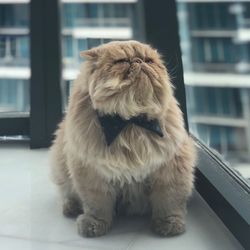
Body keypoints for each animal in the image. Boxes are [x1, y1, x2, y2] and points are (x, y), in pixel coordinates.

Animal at [49, 41, 196, 238]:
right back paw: (71, 208)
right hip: (60, 166)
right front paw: (94, 225)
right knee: (68, 194)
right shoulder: (91, 175)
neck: (130, 121)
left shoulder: (171, 170)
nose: (139, 61)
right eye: (122, 61)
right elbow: (97, 206)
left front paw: (169, 225)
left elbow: (168, 202)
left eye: (149, 60)